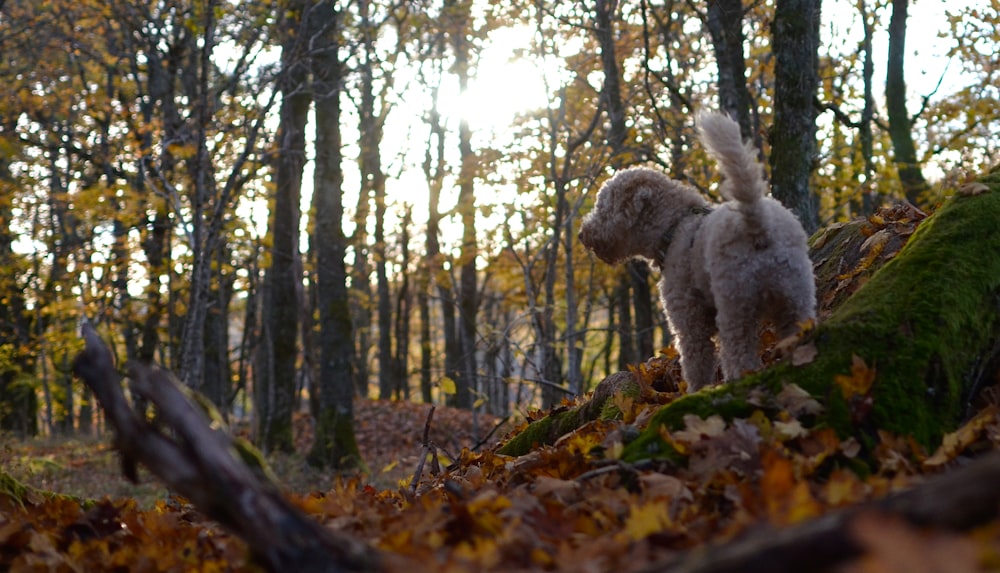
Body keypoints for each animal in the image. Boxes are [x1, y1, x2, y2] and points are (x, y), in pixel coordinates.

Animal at [580, 110, 812, 392]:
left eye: (603, 207)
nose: (582, 234)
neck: (675, 226)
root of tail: (758, 223)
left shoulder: (689, 321)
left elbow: (696, 363)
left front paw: (695, 391)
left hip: (736, 307)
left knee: (739, 355)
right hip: (797, 299)